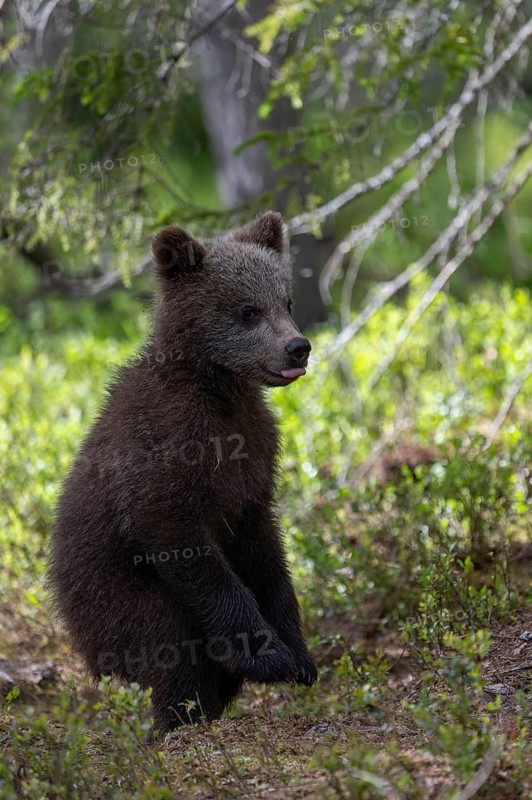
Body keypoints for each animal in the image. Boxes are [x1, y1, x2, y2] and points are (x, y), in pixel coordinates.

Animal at [49, 211, 318, 735]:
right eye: (247, 310)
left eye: (287, 301)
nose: (298, 347)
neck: (218, 390)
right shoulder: (166, 453)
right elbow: (185, 544)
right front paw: (267, 655)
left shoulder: (254, 461)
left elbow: (265, 554)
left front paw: (299, 655)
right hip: (112, 597)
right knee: (172, 644)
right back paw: (179, 720)